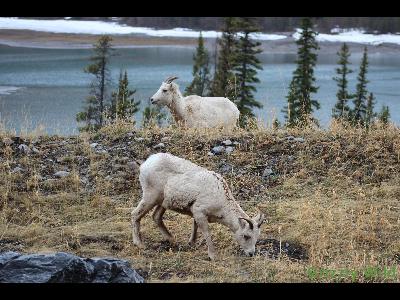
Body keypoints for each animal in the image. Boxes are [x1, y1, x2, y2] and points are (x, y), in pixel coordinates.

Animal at [131, 152, 266, 260]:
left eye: (257, 237)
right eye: (246, 236)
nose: (251, 254)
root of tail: (145, 164)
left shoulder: (196, 212)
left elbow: (195, 226)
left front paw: (191, 243)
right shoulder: (200, 212)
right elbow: (206, 232)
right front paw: (213, 256)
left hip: (163, 202)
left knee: (156, 217)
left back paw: (172, 240)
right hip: (150, 197)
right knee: (135, 214)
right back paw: (139, 244)